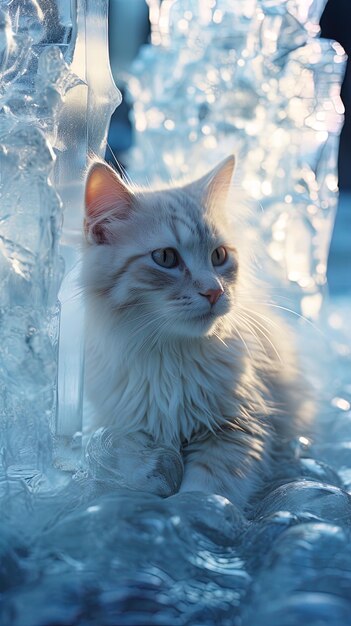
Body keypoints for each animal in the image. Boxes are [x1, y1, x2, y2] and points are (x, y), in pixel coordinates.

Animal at [82, 156, 310, 508]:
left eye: (219, 256)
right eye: (165, 258)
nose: (214, 291)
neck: (169, 357)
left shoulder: (238, 428)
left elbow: (206, 489)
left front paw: (191, 510)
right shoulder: (123, 427)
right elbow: (132, 463)